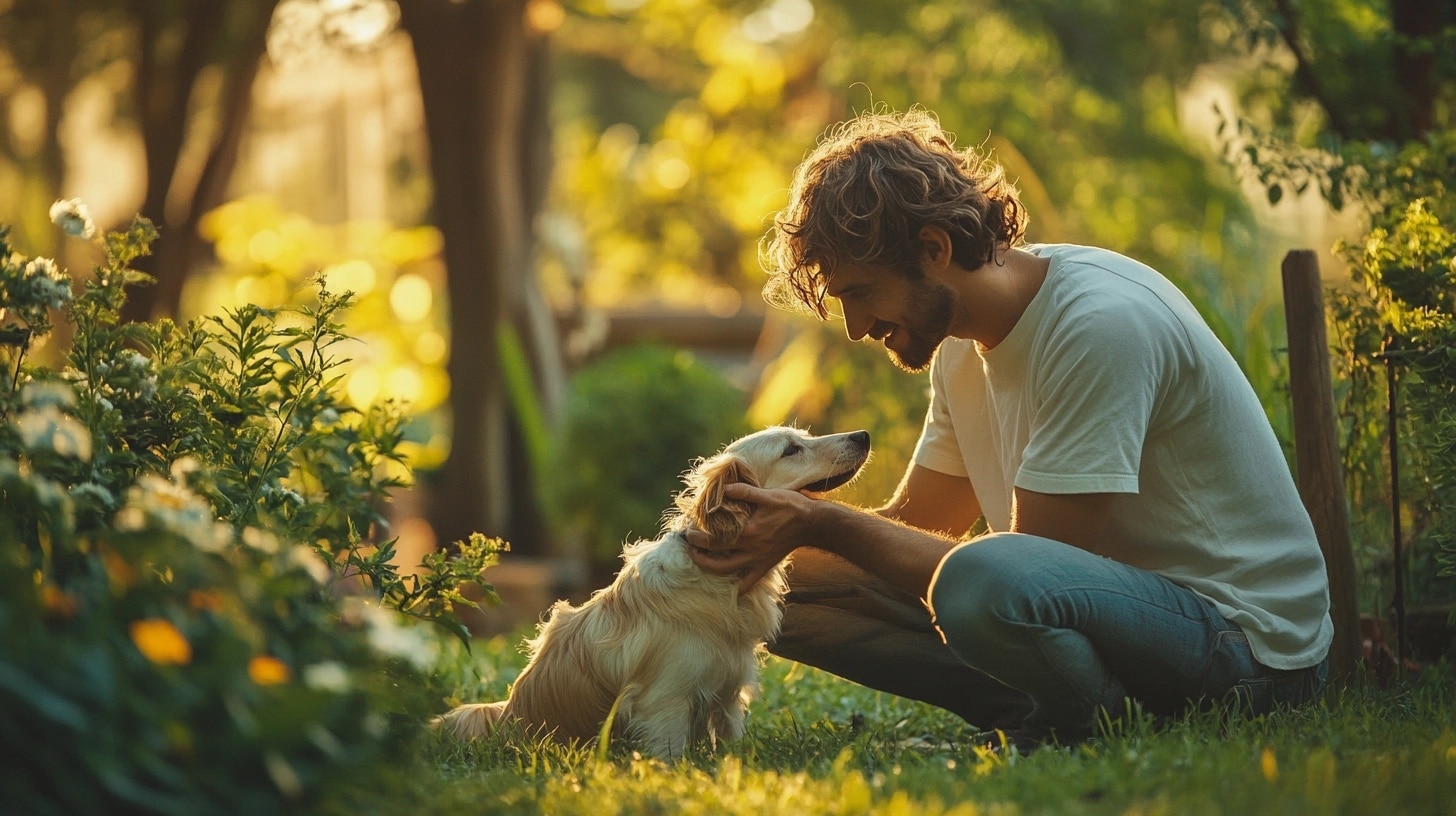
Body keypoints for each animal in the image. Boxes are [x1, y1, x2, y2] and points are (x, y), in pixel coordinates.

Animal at [430, 428, 861, 757]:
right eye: (791, 450)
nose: (862, 436)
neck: (721, 580)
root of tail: (506, 716)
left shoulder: (727, 694)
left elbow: (730, 741)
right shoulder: (664, 701)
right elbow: (670, 756)